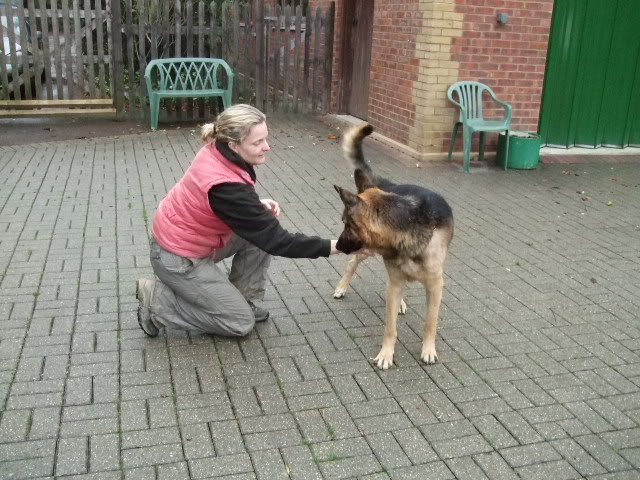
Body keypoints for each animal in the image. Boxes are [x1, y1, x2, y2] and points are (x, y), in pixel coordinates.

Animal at [332, 125, 452, 370]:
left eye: (346, 224)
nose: (337, 245)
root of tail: (388, 186)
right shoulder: (394, 282)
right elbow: (390, 328)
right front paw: (386, 354)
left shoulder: (435, 286)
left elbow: (430, 323)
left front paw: (428, 349)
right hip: (364, 254)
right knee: (351, 264)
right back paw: (341, 287)